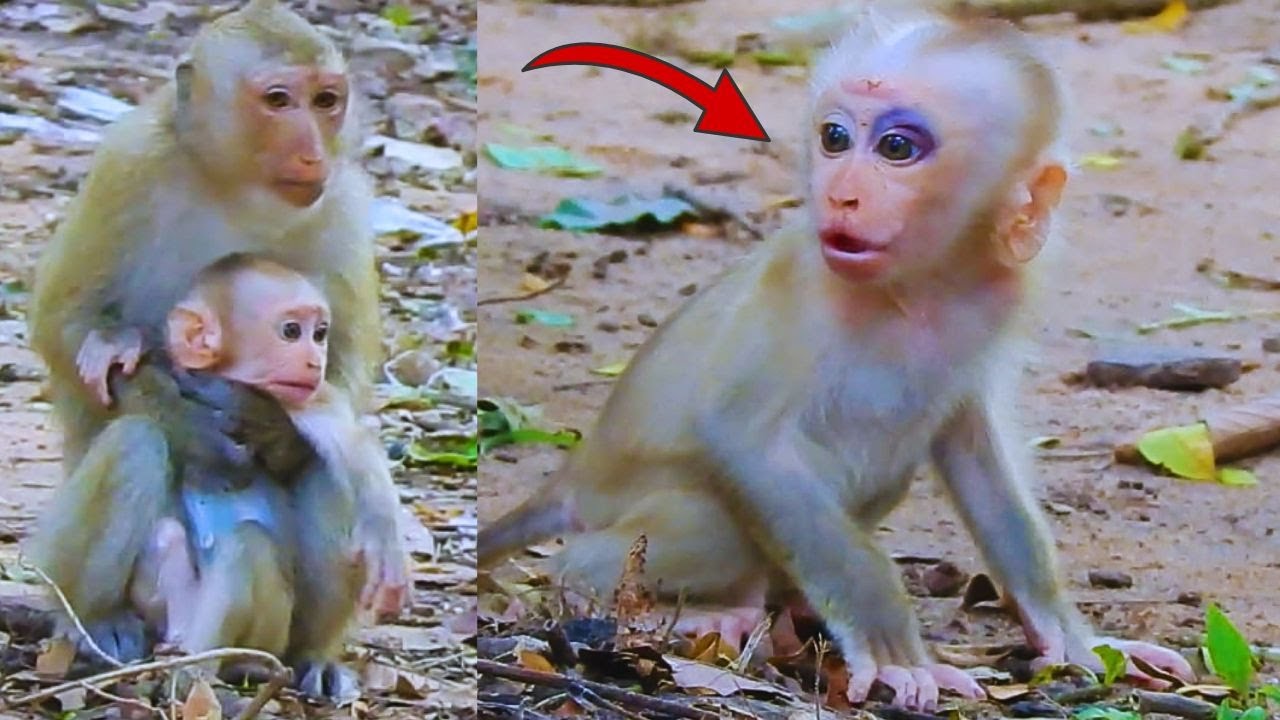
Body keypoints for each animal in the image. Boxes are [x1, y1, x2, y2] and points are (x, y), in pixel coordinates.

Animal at [24, 0, 405, 697]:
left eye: (325, 100)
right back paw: (102, 621)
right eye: (279, 100)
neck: (234, 185)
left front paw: (271, 427)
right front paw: (191, 424)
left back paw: (311, 656)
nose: (312, 152)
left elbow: (342, 373)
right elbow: (63, 322)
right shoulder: (126, 164)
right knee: (133, 443)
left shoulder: (341, 200)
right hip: (69, 568)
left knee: (325, 476)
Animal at [480, 11, 1197, 711]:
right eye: (834, 137)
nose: (841, 194)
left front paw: (1071, 635)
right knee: (682, 529)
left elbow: (973, 450)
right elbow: (743, 439)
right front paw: (893, 647)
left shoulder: (998, 295)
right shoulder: (800, 290)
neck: (918, 288)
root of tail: (576, 475)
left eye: (896, 148)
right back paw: (680, 607)